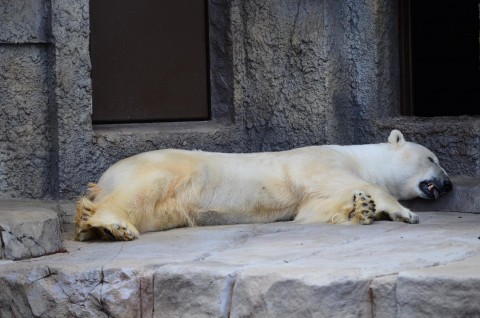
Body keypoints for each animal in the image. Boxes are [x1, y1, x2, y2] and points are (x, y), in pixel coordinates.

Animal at [73, 129, 452, 241]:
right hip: (159, 168)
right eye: (432, 157)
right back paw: (111, 225)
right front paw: (402, 212)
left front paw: (362, 207)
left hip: (169, 207)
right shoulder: (321, 161)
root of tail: (102, 179)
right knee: (142, 190)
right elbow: (342, 184)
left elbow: (315, 206)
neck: (358, 155)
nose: (448, 185)